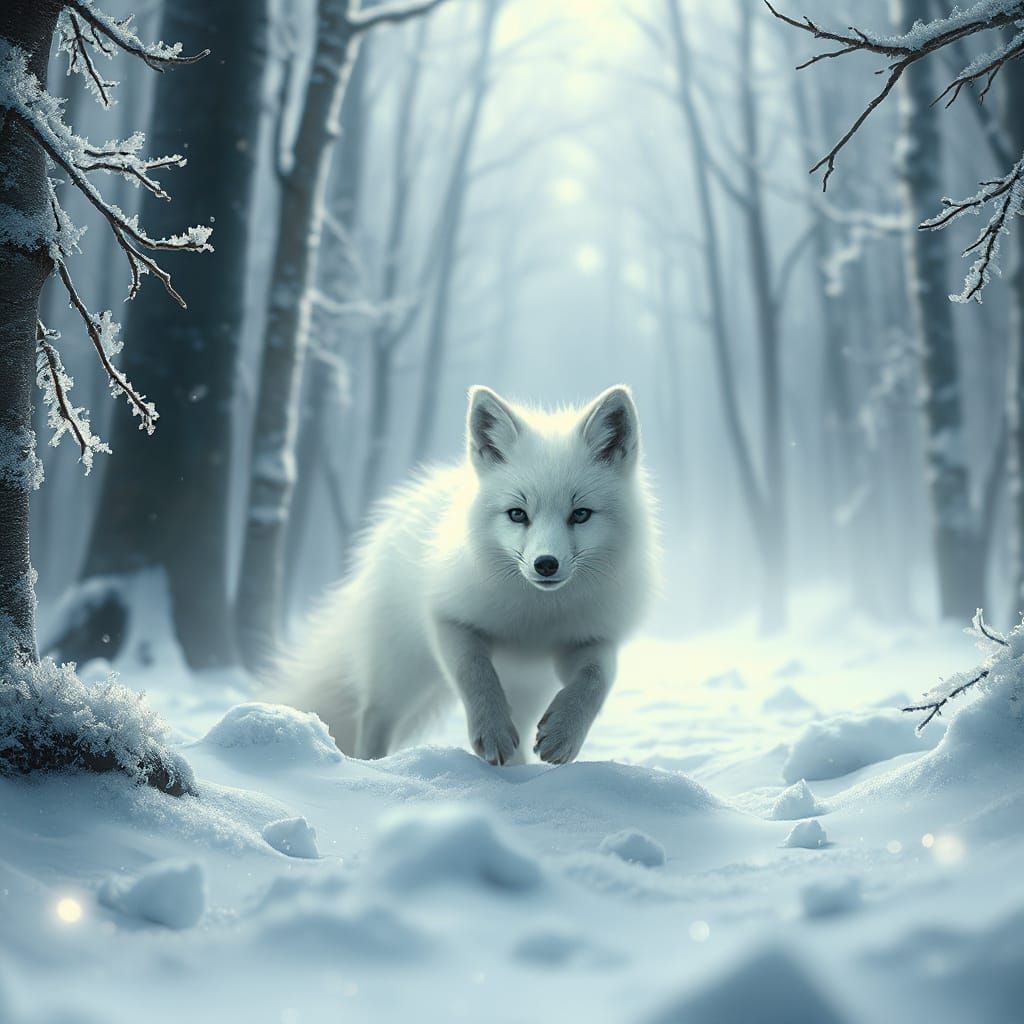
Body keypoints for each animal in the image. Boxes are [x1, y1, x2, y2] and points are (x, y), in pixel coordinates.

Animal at [282, 384, 658, 765]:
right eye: (517, 514)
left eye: (580, 514)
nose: (545, 564)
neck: (536, 620)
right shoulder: (448, 619)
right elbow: (474, 671)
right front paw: (491, 731)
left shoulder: (593, 639)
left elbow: (596, 680)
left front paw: (564, 734)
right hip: (401, 669)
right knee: (375, 714)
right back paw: (373, 766)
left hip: (528, 686)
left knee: (523, 729)